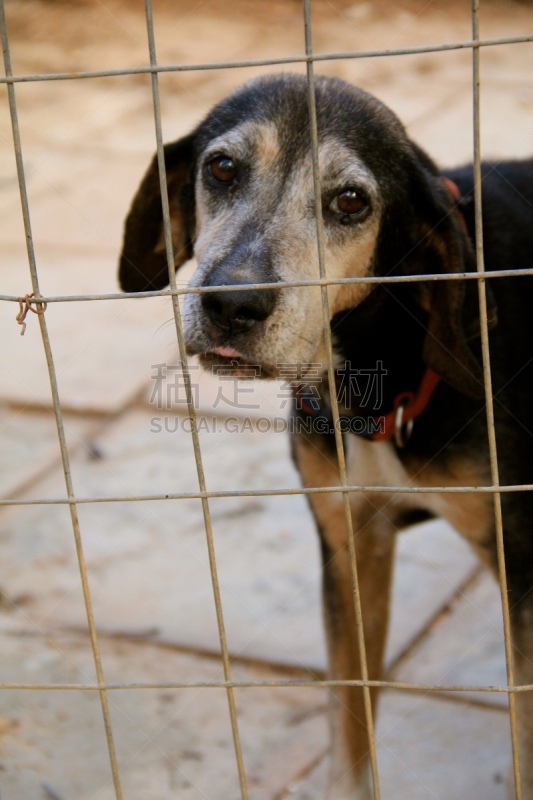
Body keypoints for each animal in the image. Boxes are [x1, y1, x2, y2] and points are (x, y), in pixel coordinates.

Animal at [117, 73, 532, 792]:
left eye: (350, 201)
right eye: (220, 167)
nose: (232, 306)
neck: (381, 373)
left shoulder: (524, 566)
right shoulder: (350, 545)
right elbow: (349, 716)